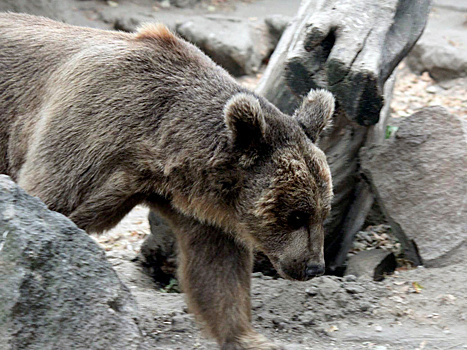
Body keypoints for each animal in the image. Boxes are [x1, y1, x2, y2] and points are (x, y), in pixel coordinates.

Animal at [0, 13, 336, 350]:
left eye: (323, 212)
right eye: (295, 215)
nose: (314, 266)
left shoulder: (202, 210)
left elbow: (218, 272)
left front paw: (248, 337)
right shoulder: (89, 135)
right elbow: (49, 202)